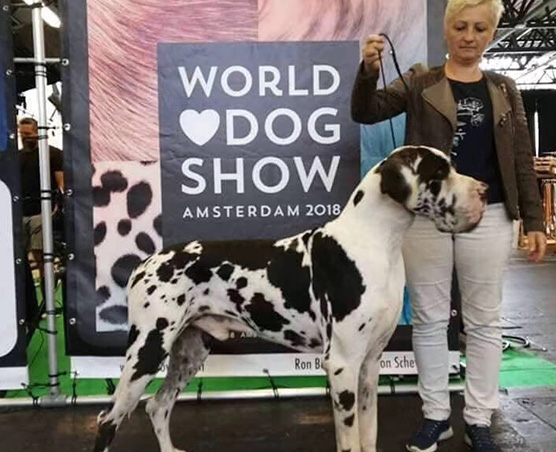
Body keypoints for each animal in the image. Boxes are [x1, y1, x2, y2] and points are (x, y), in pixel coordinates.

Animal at [94, 145, 487, 452]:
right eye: (440, 173)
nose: (484, 190)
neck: (375, 242)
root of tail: (144, 263)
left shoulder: (370, 364)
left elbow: (369, 433)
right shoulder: (342, 364)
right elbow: (349, 440)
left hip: (188, 351)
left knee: (157, 407)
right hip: (147, 350)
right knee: (107, 420)